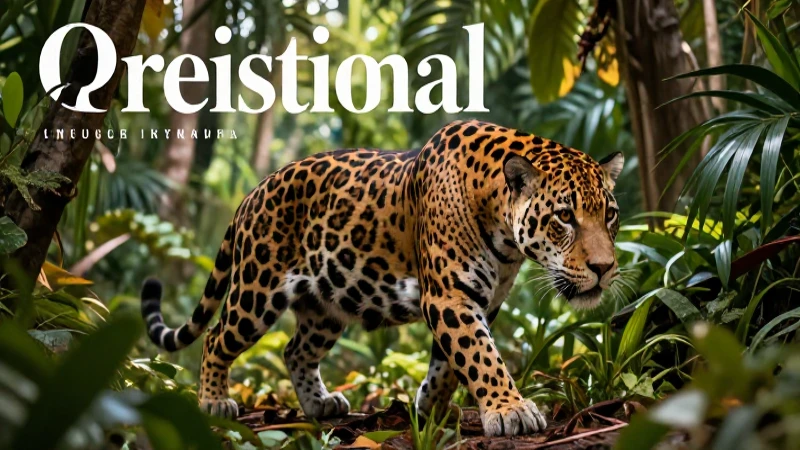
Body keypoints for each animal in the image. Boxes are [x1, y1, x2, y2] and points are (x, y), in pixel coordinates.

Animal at [140, 119, 624, 437]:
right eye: (564, 217)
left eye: (611, 215)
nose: (603, 269)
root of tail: (252, 193)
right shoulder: (450, 296)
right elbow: (481, 355)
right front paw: (510, 410)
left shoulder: (481, 300)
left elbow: (450, 362)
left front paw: (431, 407)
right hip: (256, 289)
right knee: (216, 337)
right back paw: (213, 400)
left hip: (326, 306)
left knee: (296, 350)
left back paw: (320, 404)